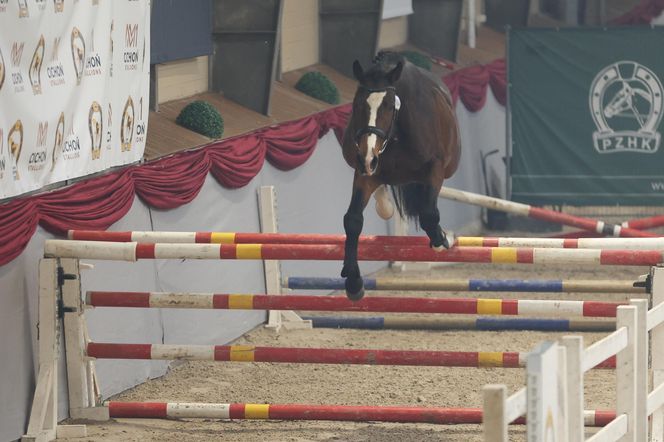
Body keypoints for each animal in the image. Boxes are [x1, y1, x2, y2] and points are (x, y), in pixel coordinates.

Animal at [340, 51, 460, 300]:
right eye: (357, 104)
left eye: (387, 106)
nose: (367, 157)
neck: (396, 134)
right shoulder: (366, 172)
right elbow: (353, 220)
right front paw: (354, 282)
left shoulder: (435, 168)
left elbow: (428, 214)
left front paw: (441, 240)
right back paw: (384, 205)